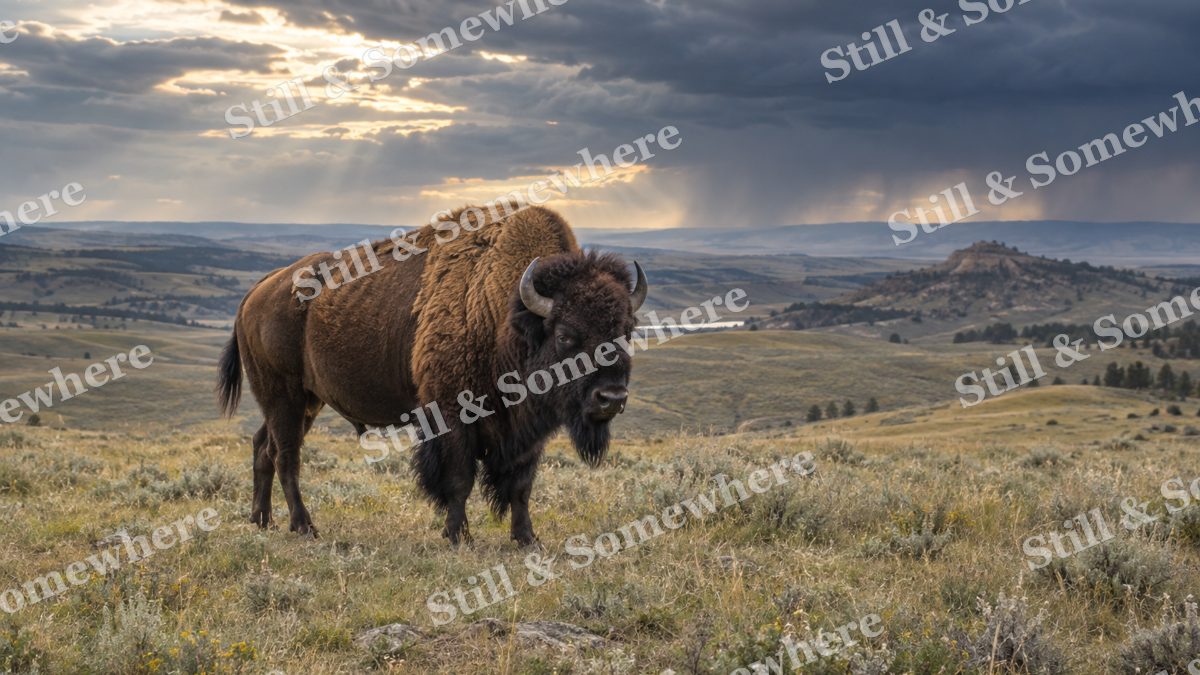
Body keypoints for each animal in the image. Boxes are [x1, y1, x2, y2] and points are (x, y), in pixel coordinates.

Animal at [217, 205, 648, 546]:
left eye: (627, 331)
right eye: (565, 335)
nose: (611, 399)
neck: (504, 313)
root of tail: (258, 290)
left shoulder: (527, 431)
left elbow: (521, 485)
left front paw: (527, 539)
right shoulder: (453, 416)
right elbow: (459, 479)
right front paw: (458, 536)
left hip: (306, 401)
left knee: (263, 447)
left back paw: (262, 521)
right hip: (283, 397)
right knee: (285, 455)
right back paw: (304, 526)